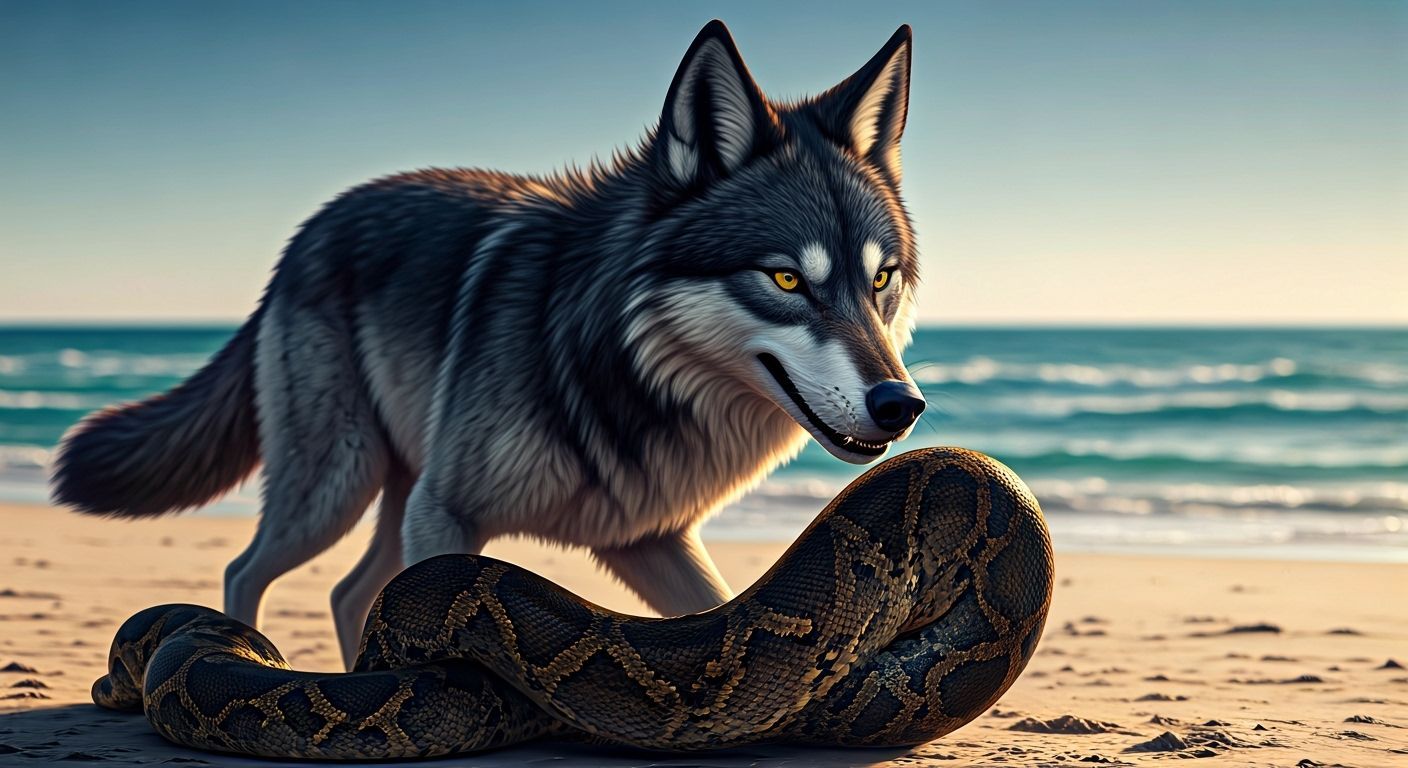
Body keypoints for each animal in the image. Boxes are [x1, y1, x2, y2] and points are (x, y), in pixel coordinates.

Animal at [51, 20, 926, 668]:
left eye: (880, 279)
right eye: (786, 279)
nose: (903, 405)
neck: (605, 363)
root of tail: (309, 229)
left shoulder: (649, 540)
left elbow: (722, 619)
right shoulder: (448, 514)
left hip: (389, 486)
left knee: (346, 592)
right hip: (337, 487)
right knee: (246, 569)